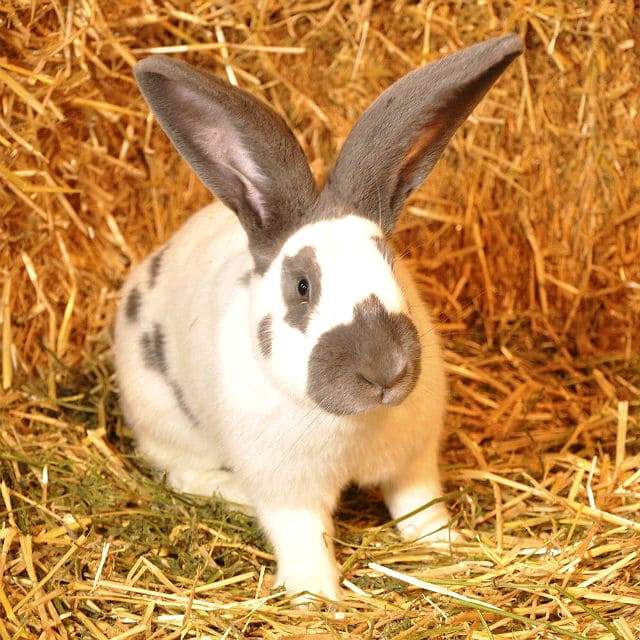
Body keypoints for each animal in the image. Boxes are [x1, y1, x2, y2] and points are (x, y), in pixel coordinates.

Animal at [114, 33, 523, 602]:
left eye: (391, 266)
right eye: (303, 287)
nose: (384, 372)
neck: (354, 425)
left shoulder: (414, 462)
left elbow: (419, 506)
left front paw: (445, 547)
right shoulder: (288, 489)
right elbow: (302, 535)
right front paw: (314, 596)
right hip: (163, 419)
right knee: (183, 473)